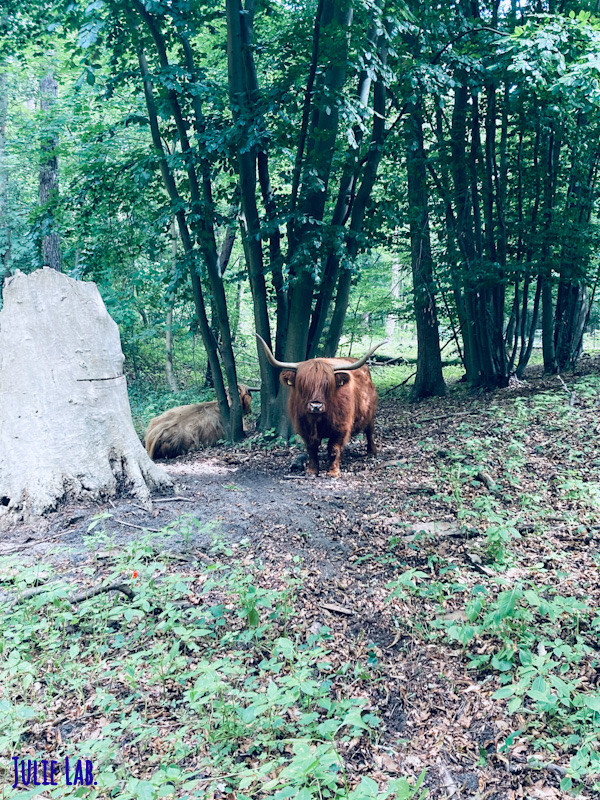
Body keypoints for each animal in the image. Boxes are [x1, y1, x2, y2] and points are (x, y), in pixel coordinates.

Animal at [256, 335, 386, 477]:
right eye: (303, 384)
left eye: (327, 385)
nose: (315, 406)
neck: (317, 420)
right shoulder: (303, 427)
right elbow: (312, 448)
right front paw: (312, 470)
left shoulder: (341, 427)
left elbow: (334, 448)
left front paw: (333, 472)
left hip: (370, 412)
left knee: (369, 430)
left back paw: (372, 451)